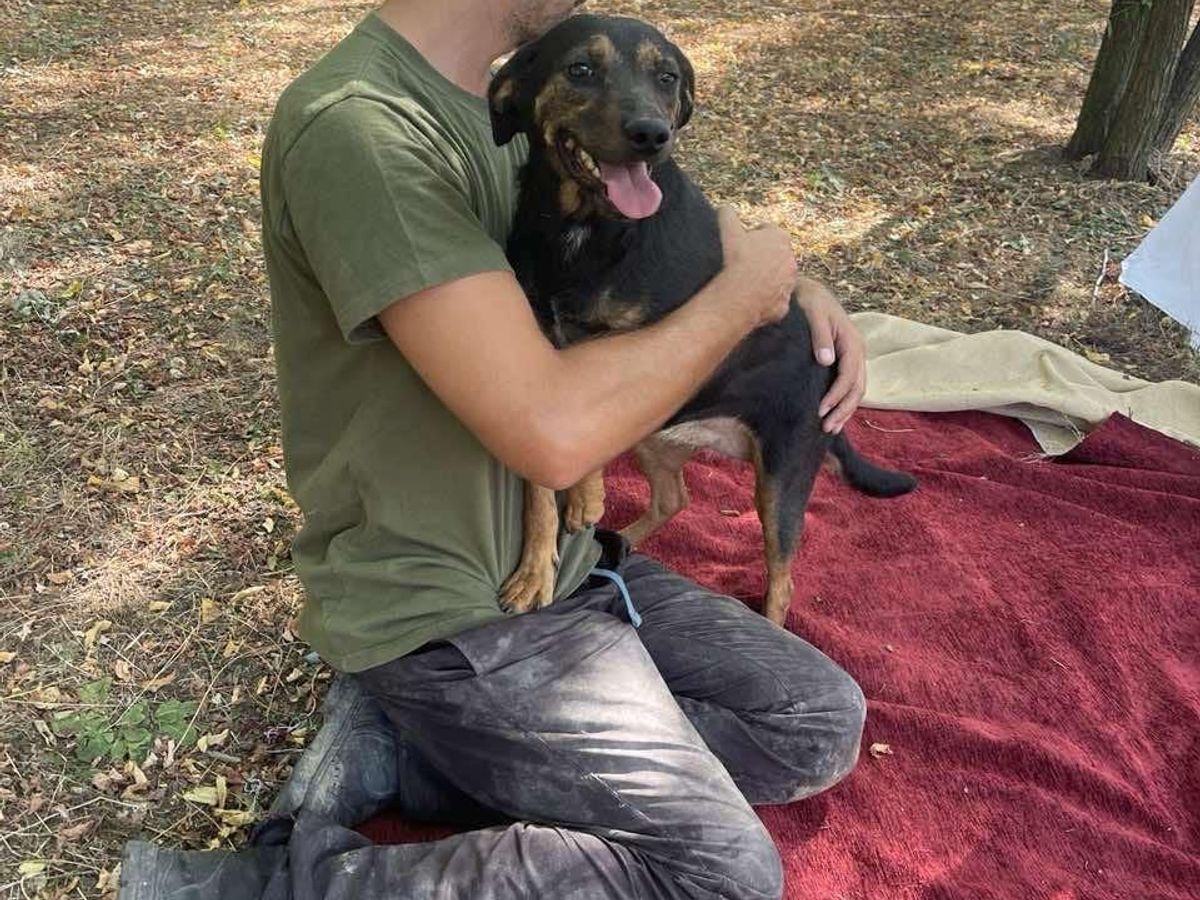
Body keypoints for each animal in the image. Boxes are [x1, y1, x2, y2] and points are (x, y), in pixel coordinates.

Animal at [489, 14, 916, 625]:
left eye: (667, 77)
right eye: (580, 69)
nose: (651, 135)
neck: (583, 228)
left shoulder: (637, 351)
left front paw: (586, 496)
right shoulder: (540, 356)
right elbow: (536, 489)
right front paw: (534, 569)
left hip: (780, 473)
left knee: (782, 580)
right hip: (657, 432)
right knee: (677, 498)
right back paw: (623, 541)